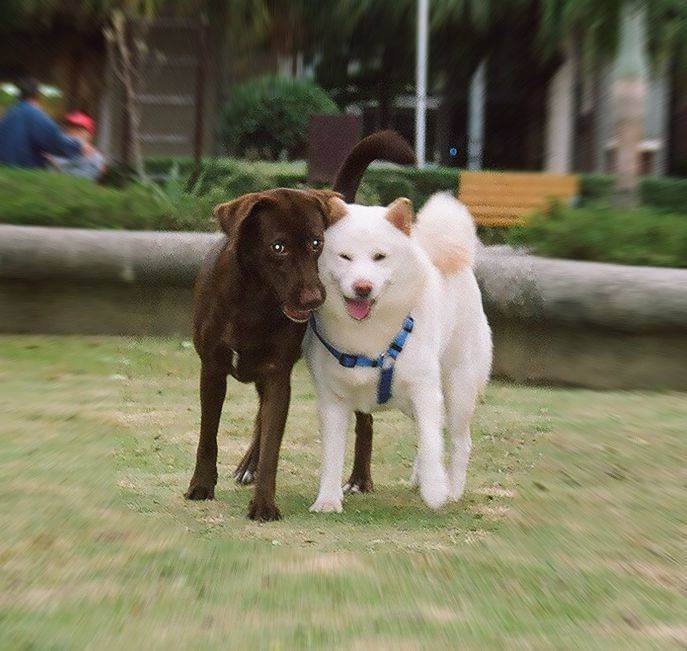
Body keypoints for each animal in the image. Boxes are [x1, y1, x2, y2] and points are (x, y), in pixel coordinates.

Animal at [183, 130, 416, 524]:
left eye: (316, 242)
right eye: (278, 247)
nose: (313, 299)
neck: (254, 301)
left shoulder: (278, 375)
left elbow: (273, 444)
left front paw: (264, 505)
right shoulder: (212, 369)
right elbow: (208, 434)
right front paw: (201, 486)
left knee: (364, 421)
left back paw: (359, 478)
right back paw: (247, 466)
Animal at [304, 194, 492, 516]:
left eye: (379, 257)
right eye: (345, 257)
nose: (362, 287)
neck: (368, 337)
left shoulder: (425, 390)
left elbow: (431, 444)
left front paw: (436, 491)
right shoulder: (333, 400)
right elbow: (331, 455)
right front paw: (327, 500)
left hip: (458, 389)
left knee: (457, 441)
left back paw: (452, 488)